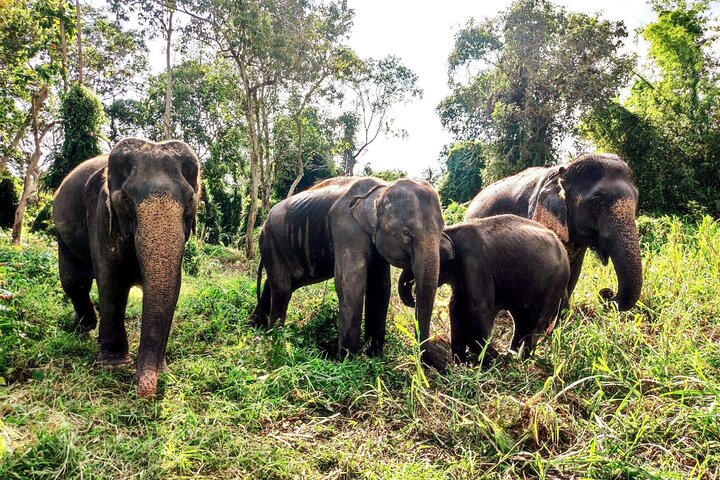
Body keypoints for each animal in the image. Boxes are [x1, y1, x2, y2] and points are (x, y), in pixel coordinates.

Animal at [53, 138, 201, 398]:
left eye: (191, 200)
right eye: (124, 199)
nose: (142, 391)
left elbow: (174, 286)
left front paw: (162, 369)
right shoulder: (100, 215)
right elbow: (111, 281)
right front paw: (114, 366)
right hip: (63, 234)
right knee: (75, 281)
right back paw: (83, 327)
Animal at [250, 176, 452, 359]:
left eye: (441, 230)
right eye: (406, 233)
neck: (380, 191)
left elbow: (380, 289)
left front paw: (374, 357)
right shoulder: (346, 229)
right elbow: (351, 285)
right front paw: (348, 361)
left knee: (277, 285)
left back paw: (254, 328)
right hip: (270, 241)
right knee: (283, 288)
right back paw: (273, 338)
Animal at [398, 215, 570, 365]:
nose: (412, 297)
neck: (450, 231)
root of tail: (565, 252)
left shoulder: (475, 264)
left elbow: (478, 308)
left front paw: (490, 360)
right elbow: (455, 307)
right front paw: (462, 362)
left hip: (554, 283)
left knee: (535, 321)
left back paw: (521, 360)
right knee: (520, 319)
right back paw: (512, 354)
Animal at [465, 153, 642, 311]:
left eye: (637, 198)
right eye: (596, 201)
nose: (606, 293)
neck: (563, 171)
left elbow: (574, 269)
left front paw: (564, 315)